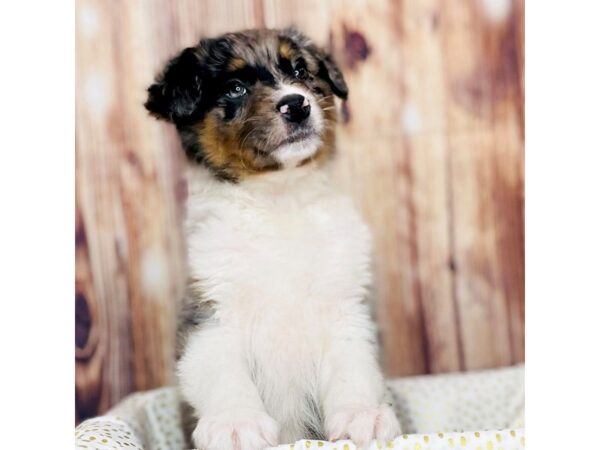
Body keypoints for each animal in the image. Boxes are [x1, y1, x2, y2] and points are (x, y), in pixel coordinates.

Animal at [144, 28, 404, 450]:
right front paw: (236, 424)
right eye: (234, 88)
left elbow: (353, 367)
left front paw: (363, 416)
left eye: (299, 70)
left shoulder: (345, 306)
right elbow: (222, 373)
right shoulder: (211, 311)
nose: (296, 105)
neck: (279, 202)